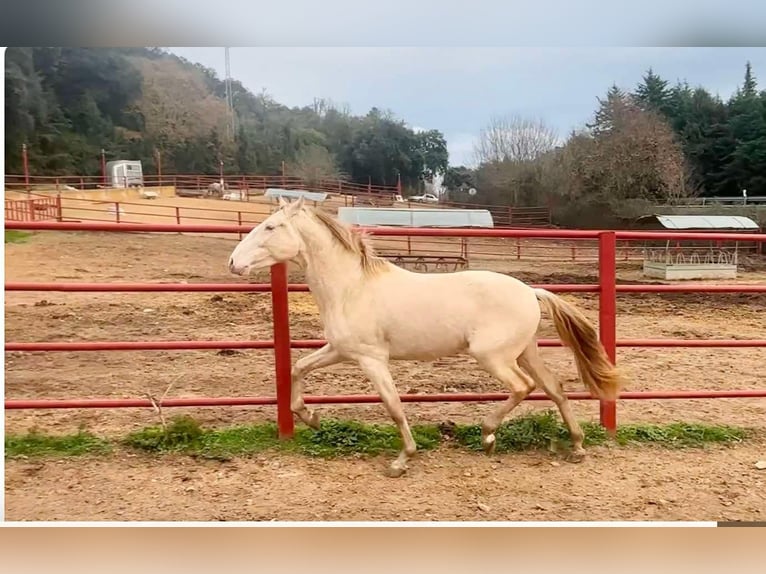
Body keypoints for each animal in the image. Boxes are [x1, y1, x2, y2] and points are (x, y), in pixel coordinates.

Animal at [226, 196, 624, 480]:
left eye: (271, 226)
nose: (233, 263)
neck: (351, 287)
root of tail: (531, 290)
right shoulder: (341, 350)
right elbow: (298, 367)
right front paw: (309, 417)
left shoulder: (372, 359)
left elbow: (392, 405)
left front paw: (402, 460)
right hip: (525, 351)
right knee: (555, 388)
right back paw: (577, 447)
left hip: (493, 356)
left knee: (522, 387)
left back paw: (488, 435)